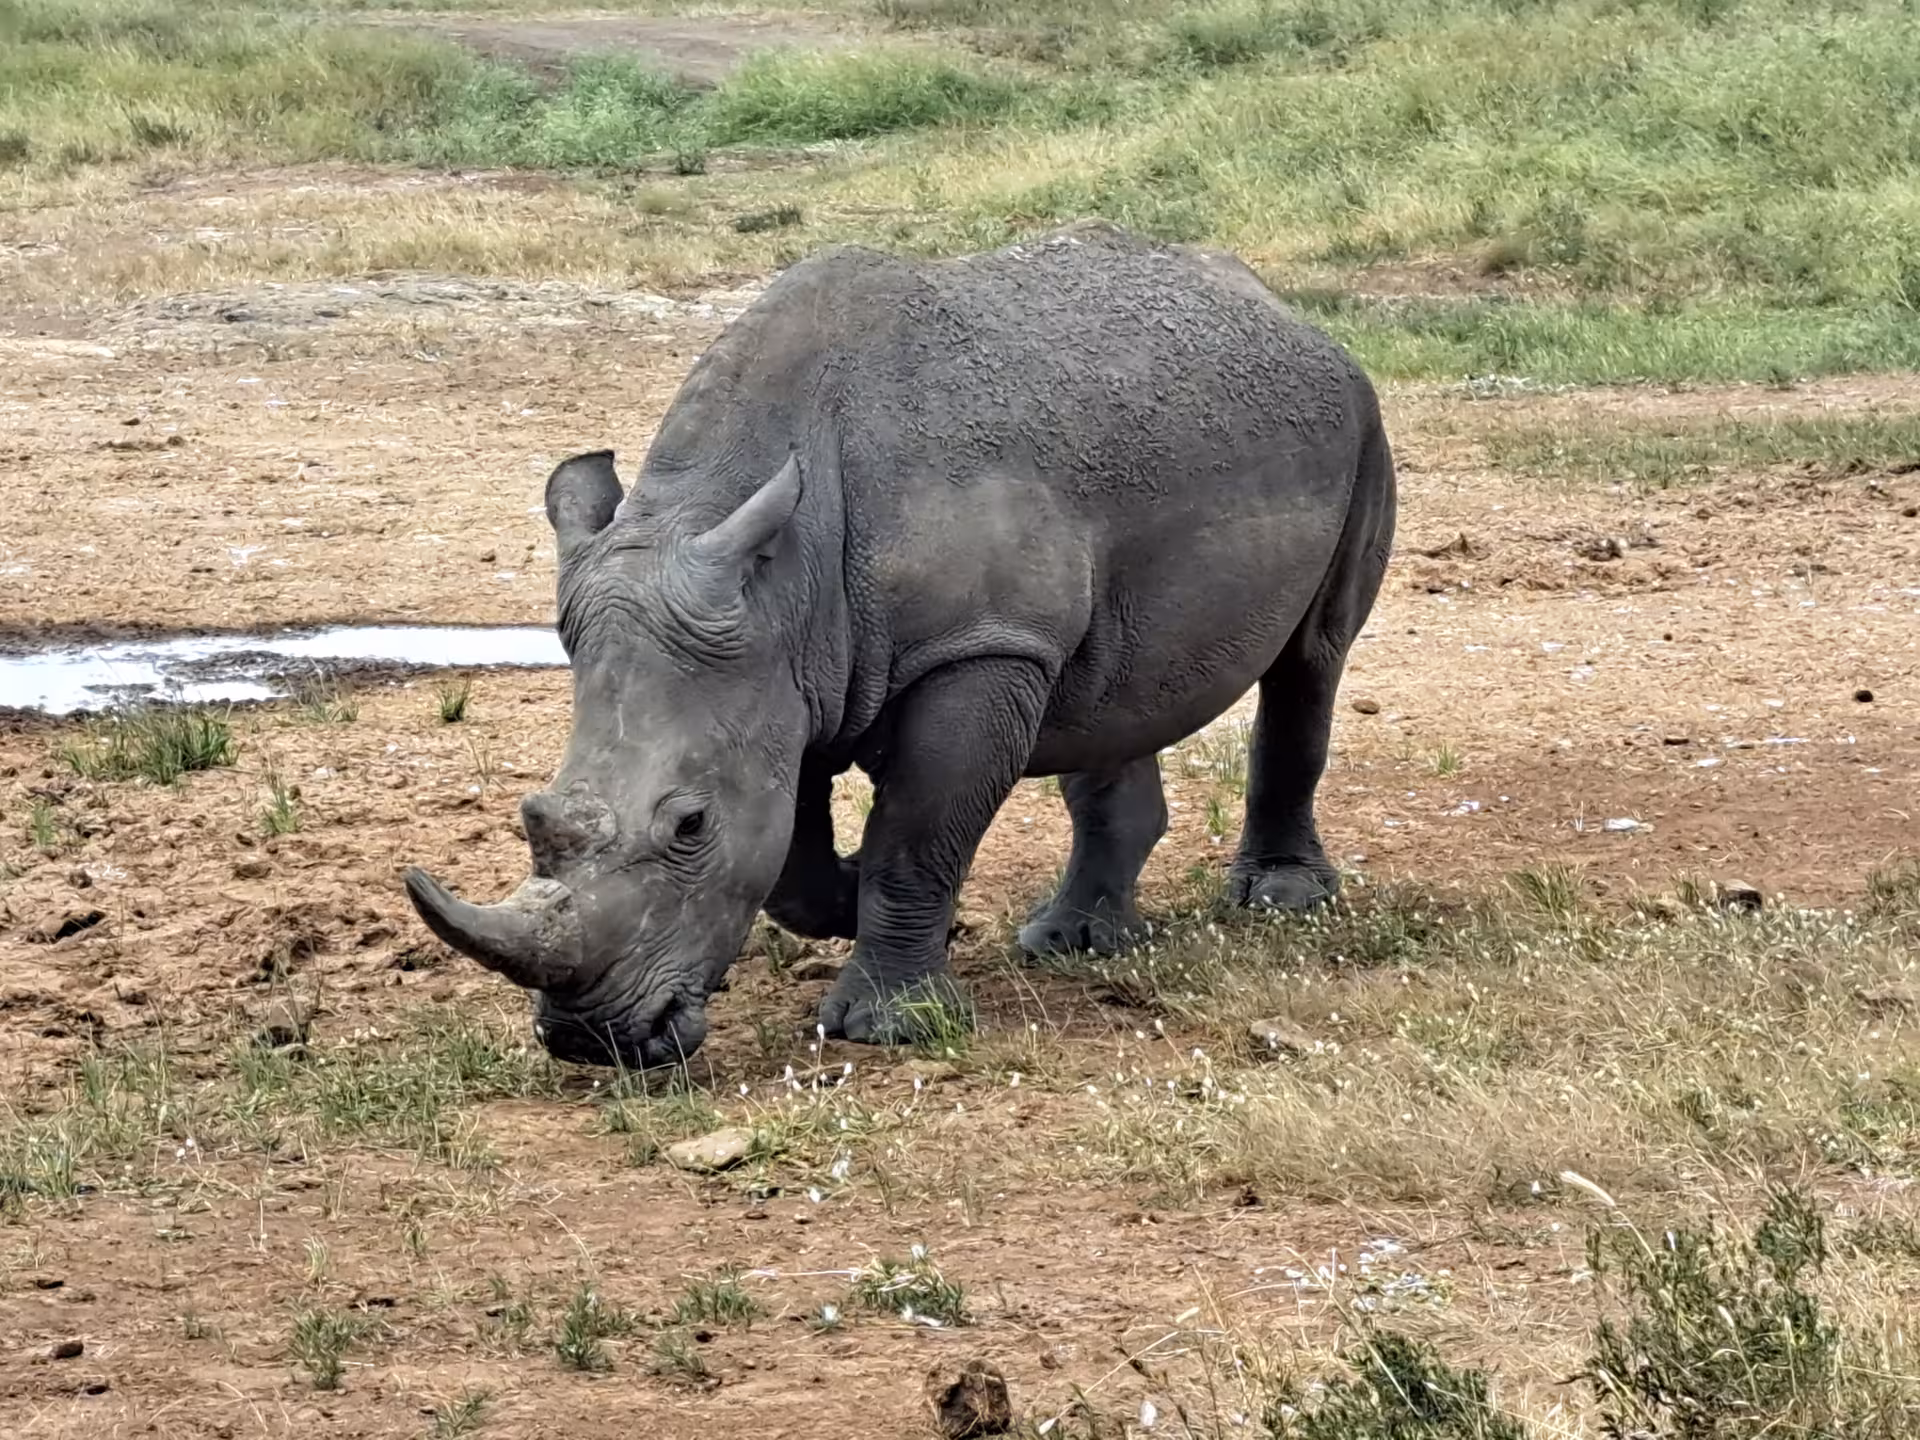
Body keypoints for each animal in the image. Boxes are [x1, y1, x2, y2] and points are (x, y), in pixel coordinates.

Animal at [403, 221, 1396, 1068]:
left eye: (690, 826)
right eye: (534, 818)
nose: (590, 1041)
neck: (781, 569)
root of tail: (1287, 311)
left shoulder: (978, 646)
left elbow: (915, 832)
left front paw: (890, 1026)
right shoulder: (783, 661)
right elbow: (794, 857)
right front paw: (848, 901)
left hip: (1363, 424)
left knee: (1312, 659)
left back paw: (1282, 900)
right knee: (1112, 697)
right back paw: (1069, 944)